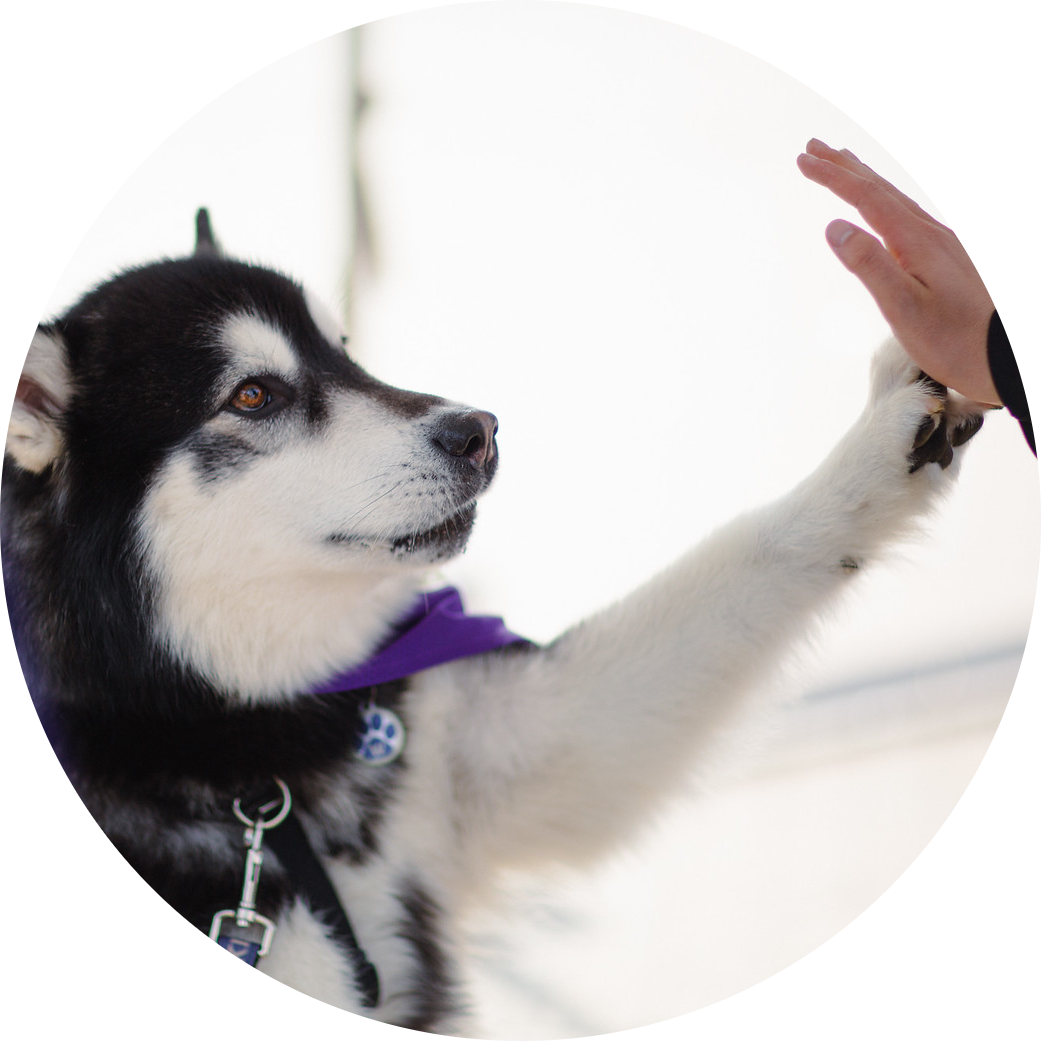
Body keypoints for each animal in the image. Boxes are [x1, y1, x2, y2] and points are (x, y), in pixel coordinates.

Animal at [4, 215, 982, 1028]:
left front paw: (888, 432)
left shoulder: (506, 742)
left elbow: (761, 546)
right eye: (252, 396)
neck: (248, 748)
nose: (477, 430)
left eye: (343, 349)